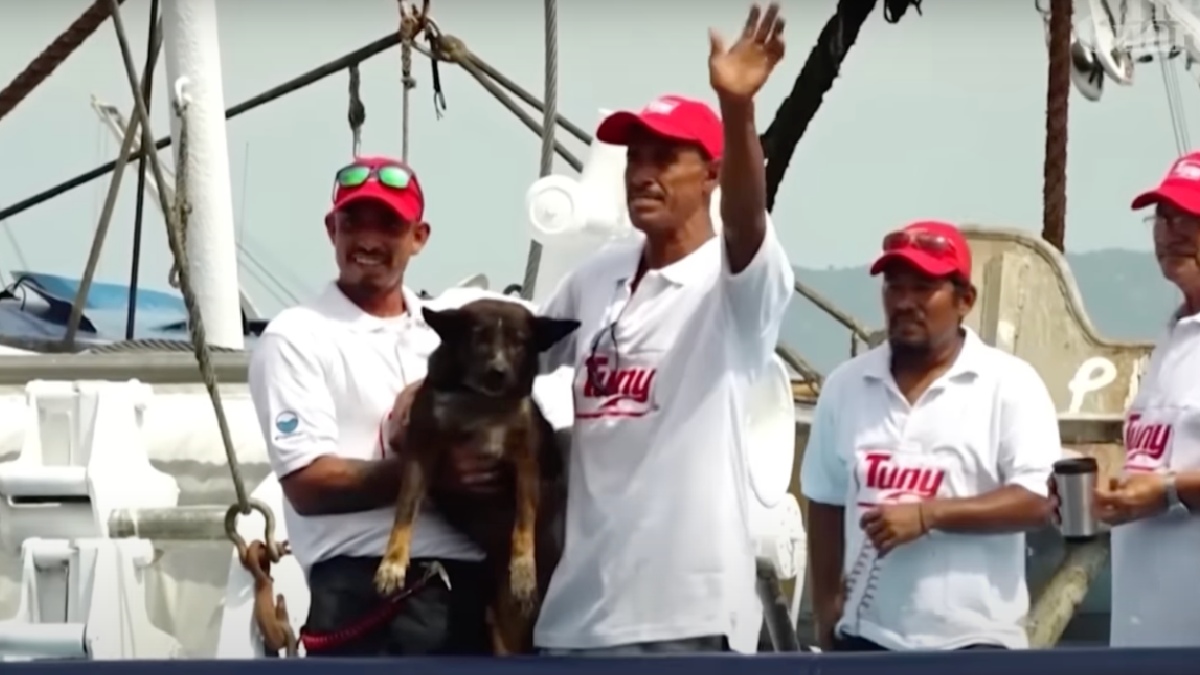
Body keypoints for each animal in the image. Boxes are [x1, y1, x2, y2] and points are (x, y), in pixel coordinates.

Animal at [376, 295, 578, 653]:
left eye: (519, 342)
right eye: (477, 338)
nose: (498, 372)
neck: (481, 403)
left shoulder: (527, 463)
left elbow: (524, 522)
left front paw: (523, 573)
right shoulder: (421, 450)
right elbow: (405, 508)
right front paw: (392, 564)